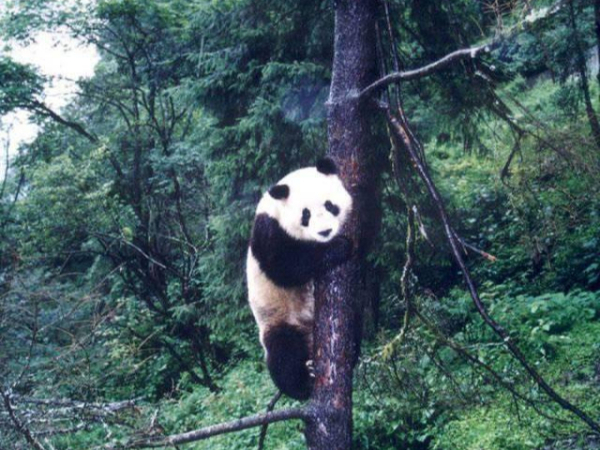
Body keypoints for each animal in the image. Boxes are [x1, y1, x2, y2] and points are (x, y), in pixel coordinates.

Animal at [246, 158, 354, 400]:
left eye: (329, 205)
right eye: (305, 215)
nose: (325, 232)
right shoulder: (269, 230)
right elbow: (285, 267)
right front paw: (338, 247)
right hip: (278, 318)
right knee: (283, 352)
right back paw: (303, 382)